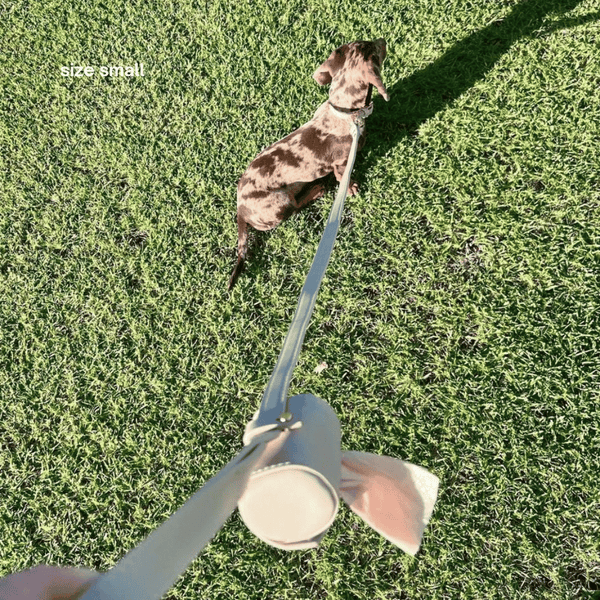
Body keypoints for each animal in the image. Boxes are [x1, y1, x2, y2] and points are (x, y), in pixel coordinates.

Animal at [226, 38, 390, 290]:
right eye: (374, 50)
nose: (383, 39)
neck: (344, 114)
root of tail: (240, 209)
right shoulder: (342, 163)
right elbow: (344, 178)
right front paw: (351, 188)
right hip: (281, 203)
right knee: (295, 207)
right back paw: (316, 190)